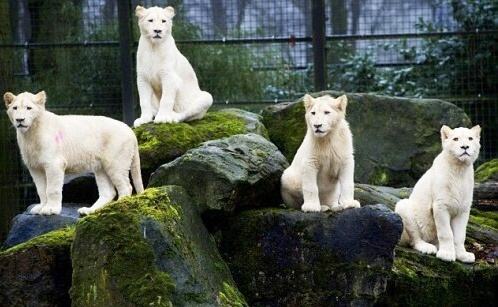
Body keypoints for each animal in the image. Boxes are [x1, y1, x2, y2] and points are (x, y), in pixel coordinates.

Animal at [3, 91, 144, 217]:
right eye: (15, 108)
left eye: (29, 108)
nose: (20, 119)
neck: (30, 134)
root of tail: (130, 131)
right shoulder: (34, 167)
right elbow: (41, 189)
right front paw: (41, 207)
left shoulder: (54, 163)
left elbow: (52, 189)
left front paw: (51, 210)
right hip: (100, 167)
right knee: (108, 192)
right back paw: (89, 211)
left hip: (115, 163)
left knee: (126, 187)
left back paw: (117, 207)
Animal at [394, 124, 480, 264]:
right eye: (456, 139)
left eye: (470, 138)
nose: (465, 147)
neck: (459, 169)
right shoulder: (440, 206)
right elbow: (446, 233)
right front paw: (447, 254)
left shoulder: (463, 209)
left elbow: (460, 235)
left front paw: (462, 255)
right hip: (403, 207)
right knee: (414, 240)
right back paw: (428, 248)